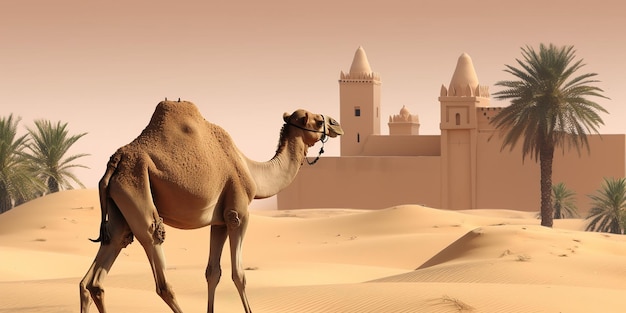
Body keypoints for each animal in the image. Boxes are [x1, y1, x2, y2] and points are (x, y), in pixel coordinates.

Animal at [79, 100, 342, 312]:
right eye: (318, 121)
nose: (336, 124)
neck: (252, 171)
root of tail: (115, 163)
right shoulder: (238, 214)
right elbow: (239, 274)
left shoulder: (220, 221)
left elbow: (212, 273)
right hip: (137, 192)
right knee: (159, 267)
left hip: (119, 209)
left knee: (96, 276)